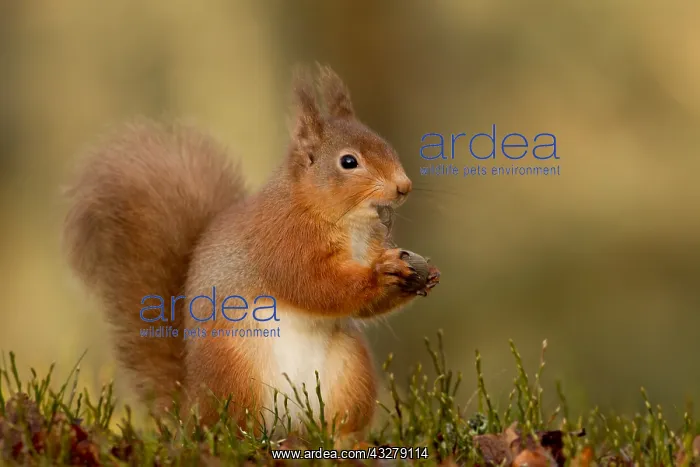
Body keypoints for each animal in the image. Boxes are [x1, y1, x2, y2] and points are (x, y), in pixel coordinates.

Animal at [62, 64, 440, 439]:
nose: (403, 186)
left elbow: (362, 306)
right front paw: (380, 274)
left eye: (385, 144)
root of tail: (190, 409)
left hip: (350, 369)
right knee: (237, 425)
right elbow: (314, 284)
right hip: (236, 370)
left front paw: (424, 274)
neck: (347, 222)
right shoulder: (282, 242)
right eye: (349, 162)